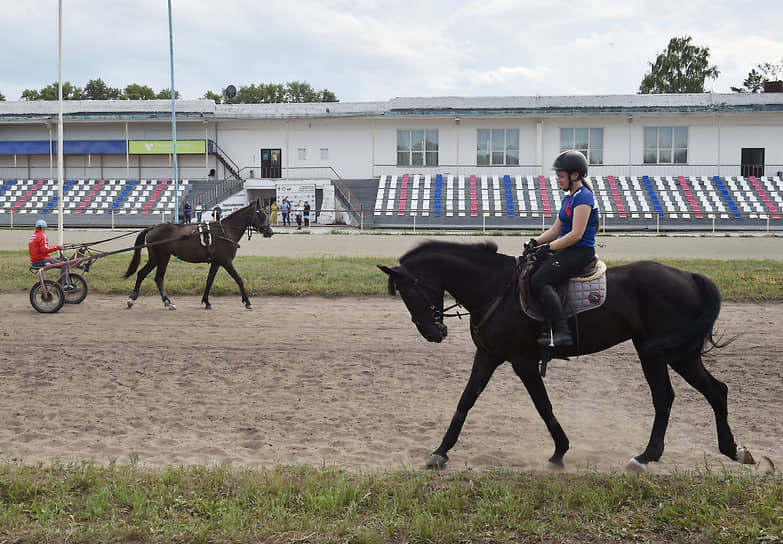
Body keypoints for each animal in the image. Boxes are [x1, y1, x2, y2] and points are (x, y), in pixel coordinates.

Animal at [124, 200, 274, 310]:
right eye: (261, 215)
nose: (270, 232)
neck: (225, 231)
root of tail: (153, 228)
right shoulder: (226, 261)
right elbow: (239, 279)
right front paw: (247, 302)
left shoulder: (216, 262)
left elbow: (209, 281)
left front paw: (206, 301)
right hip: (162, 257)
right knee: (157, 277)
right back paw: (160, 301)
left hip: (156, 258)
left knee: (144, 274)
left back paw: (148, 300)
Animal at [380, 242, 760, 472]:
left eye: (410, 293)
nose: (434, 333)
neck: (495, 288)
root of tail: (689, 277)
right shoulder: (487, 356)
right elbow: (465, 402)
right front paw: (440, 452)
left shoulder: (522, 361)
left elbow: (543, 406)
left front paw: (560, 452)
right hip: (667, 352)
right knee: (704, 392)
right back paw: (728, 450)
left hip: (669, 353)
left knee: (683, 395)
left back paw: (649, 456)